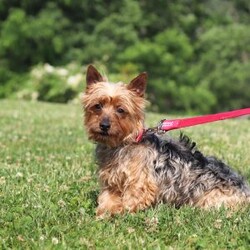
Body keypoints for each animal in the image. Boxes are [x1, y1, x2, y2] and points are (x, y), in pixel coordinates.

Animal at [82, 64, 250, 217]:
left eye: (121, 110)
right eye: (97, 106)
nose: (104, 125)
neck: (123, 143)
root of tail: (246, 189)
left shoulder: (140, 184)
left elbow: (130, 202)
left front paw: (119, 215)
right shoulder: (111, 182)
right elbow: (108, 200)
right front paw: (103, 214)